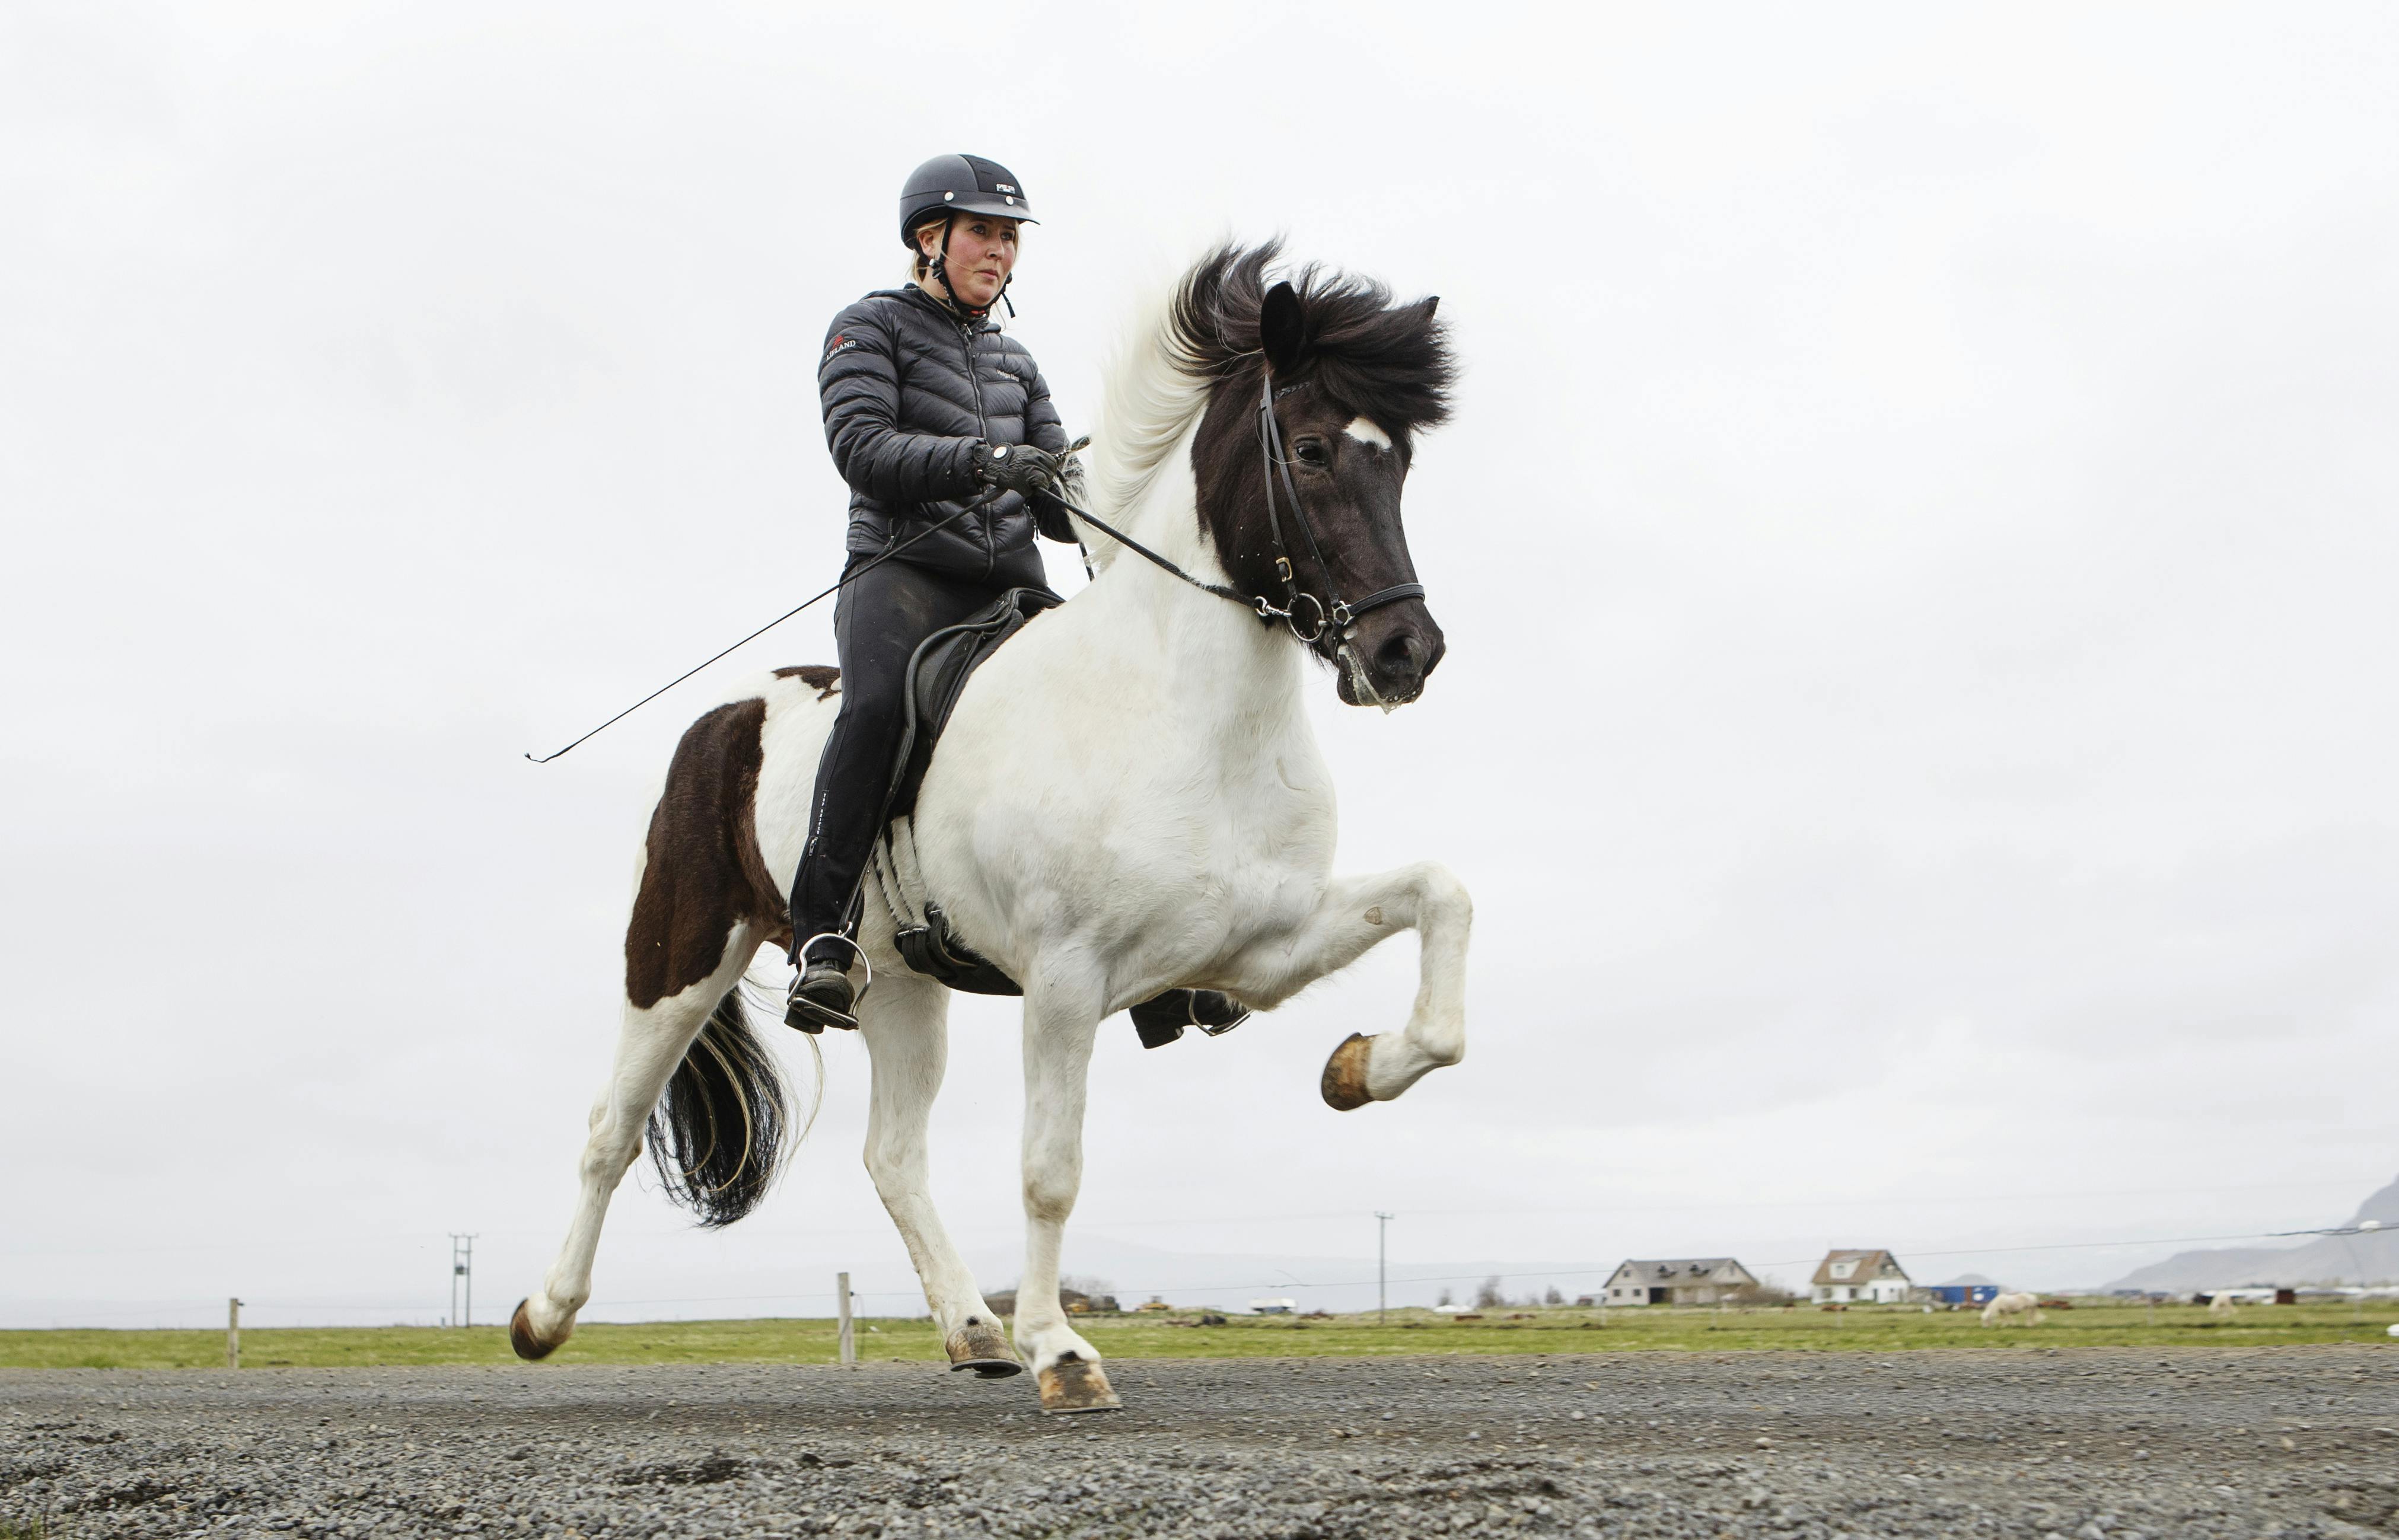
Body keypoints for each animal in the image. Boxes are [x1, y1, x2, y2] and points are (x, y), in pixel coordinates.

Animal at [515, 245, 1468, 1410]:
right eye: (1312, 449)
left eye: (1401, 462)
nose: (1405, 654)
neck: (1182, 709)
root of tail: (728, 714)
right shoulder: (1065, 978)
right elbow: (1050, 1170)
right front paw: (1065, 1353)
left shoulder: (1261, 946)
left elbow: (1442, 904)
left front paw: (1359, 1068)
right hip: (679, 951)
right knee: (609, 1130)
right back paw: (543, 1317)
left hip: (897, 988)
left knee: (892, 1156)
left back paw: (974, 1330)